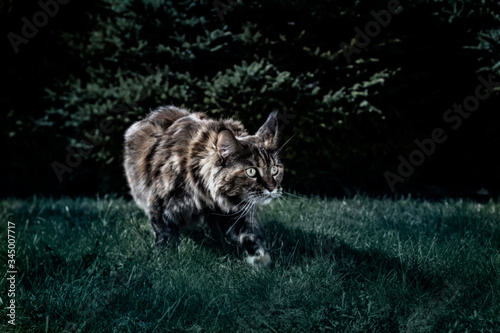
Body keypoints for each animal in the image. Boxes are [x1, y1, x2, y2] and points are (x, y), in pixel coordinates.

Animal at [123, 106, 284, 268]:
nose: (272, 188)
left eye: (275, 169)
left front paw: (260, 260)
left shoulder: (233, 212)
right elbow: (165, 237)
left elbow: (250, 235)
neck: (205, 193)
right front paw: (165, 260)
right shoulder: (159, 206)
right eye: (251, 172)